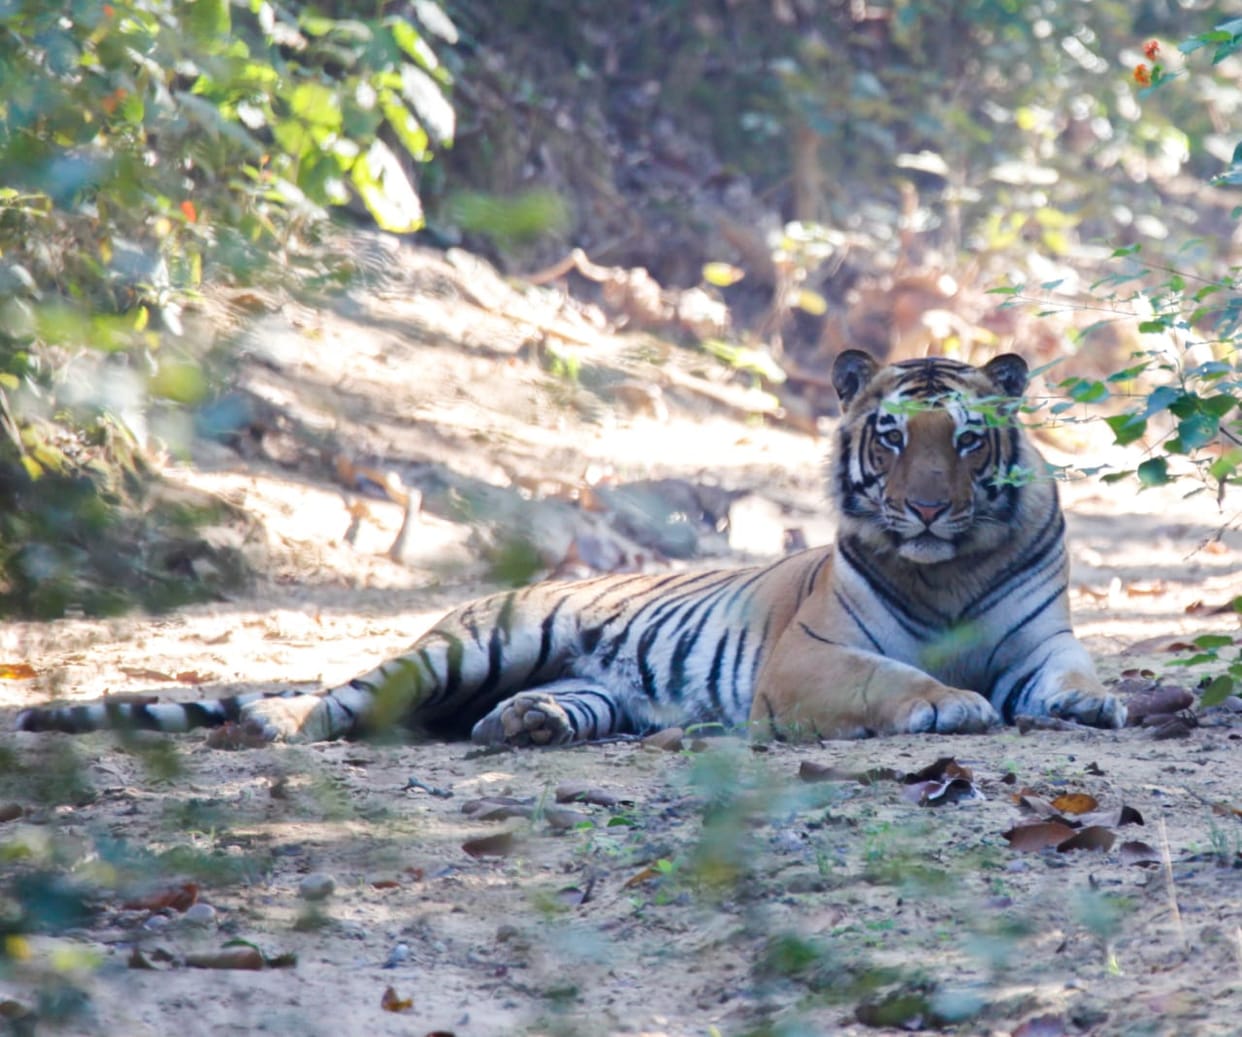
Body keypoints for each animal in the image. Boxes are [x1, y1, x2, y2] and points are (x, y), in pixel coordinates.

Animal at [16, 350, 1125, 745]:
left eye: (967, 439)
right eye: (891, 436)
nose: (929, 510)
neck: (952, 569)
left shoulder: (1041, 639)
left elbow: (1071, 671)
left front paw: (1095, 702)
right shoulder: (809, 658)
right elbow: (889, 676)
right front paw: (947, 701)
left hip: (577, 684)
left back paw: (526, 723)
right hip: (464, 645)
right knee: (331, 698)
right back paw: (278, 728)